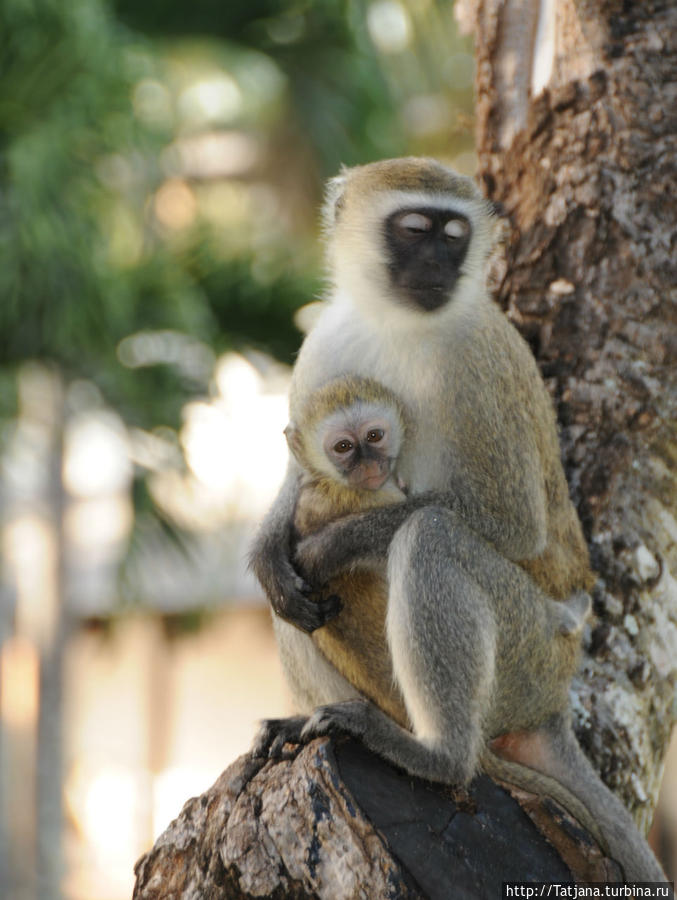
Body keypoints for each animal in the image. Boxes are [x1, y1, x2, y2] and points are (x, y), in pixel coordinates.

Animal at [250, 156, 664, 880]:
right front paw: (268, 550)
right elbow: (300, 481)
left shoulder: (476, 364)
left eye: (454, 235)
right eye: (415, 230)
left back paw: (438, 755)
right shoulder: (325, 344)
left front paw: (334, 545)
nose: (439, 268)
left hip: (530, 653)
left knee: (432, 537)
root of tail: (554, 701)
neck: (395, 322)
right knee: (299, 605)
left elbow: (513, 523)